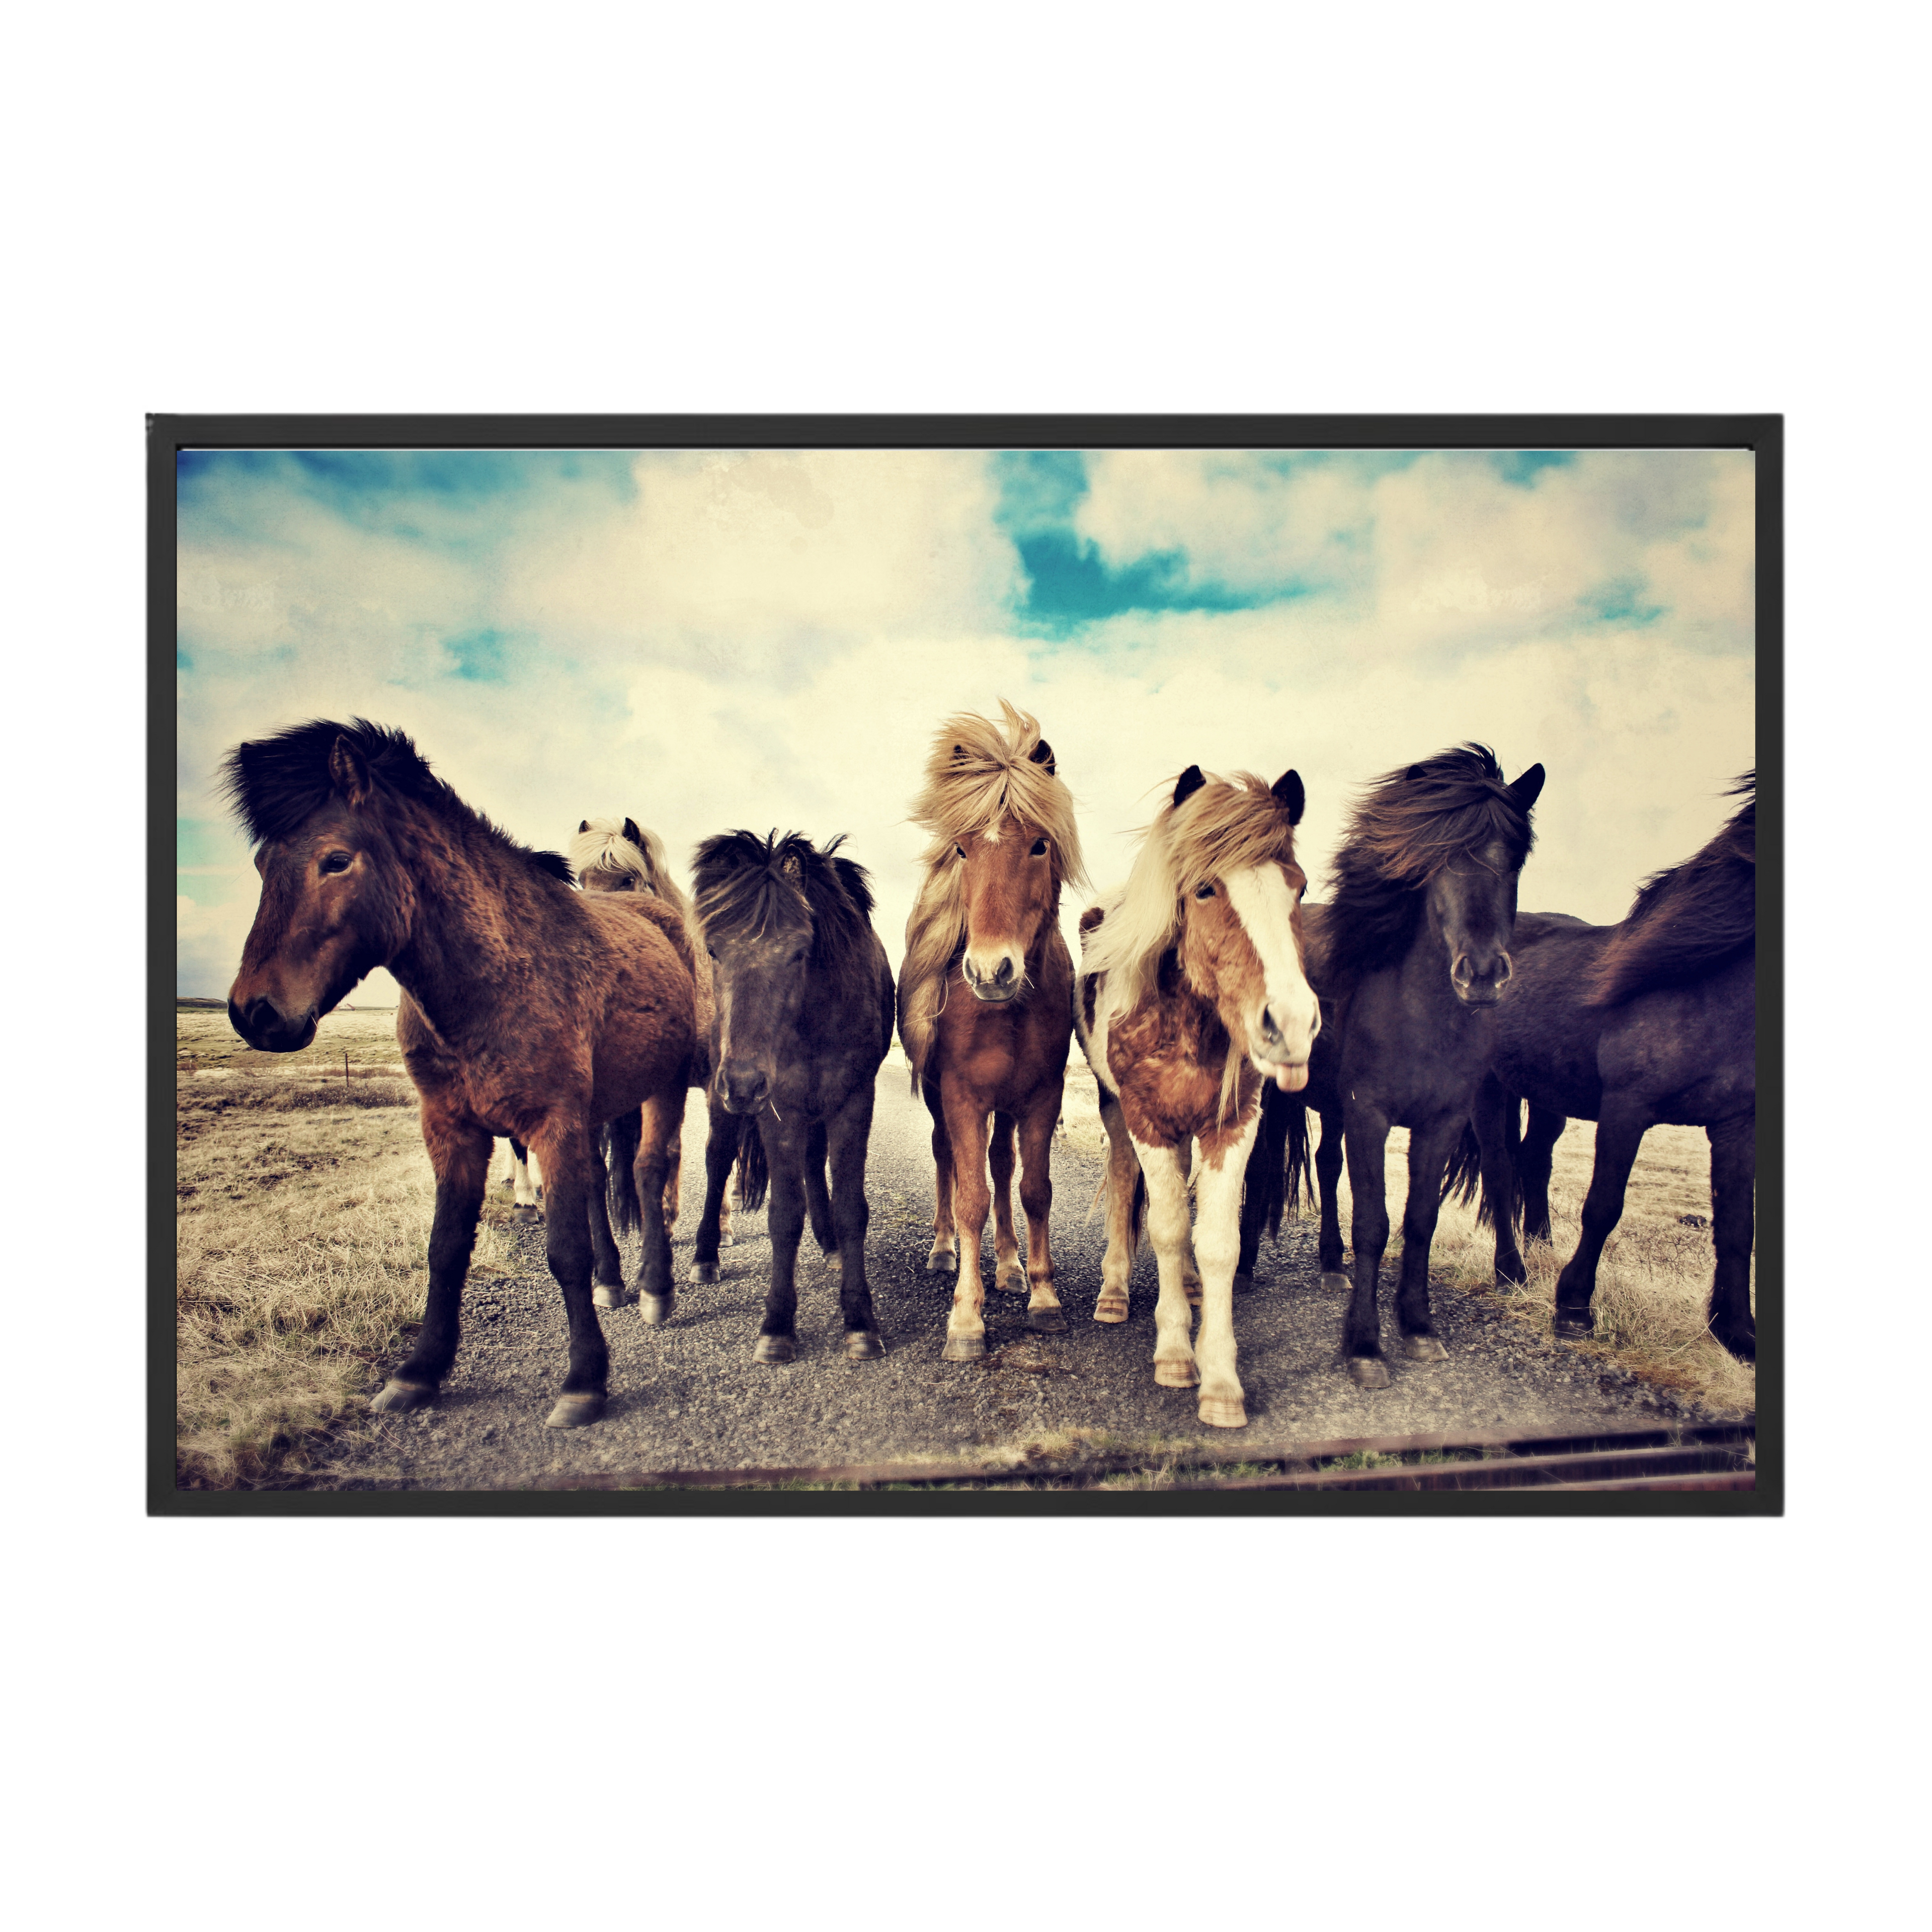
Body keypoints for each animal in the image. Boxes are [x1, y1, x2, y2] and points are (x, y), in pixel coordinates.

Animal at [223, 718, 703, 1429]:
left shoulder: (553, 1121)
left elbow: (565, 1250)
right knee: (600, 1185)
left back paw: (655, 1288)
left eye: (335, 859)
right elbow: (446, 1248)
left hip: (663, 1087)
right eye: (261, 865)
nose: (253, 1012)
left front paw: (584, 1380)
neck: (489, 980)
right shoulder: (451, 1127)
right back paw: (615, 1282)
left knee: (647, 1169)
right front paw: (420, 1371)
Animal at [688, 831, 896, 1361]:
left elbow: (850, 1207)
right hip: (725, 1103)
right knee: (718, 1161)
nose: (744, 1084)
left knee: (813, 1164)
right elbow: (783, 1215)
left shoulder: (853, 1102)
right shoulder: (779, 1108)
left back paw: (830, 1245)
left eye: (801, 951)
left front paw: (860, 1321)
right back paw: (704, 1256)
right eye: (714, 950)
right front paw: (777, 1326)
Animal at [898, 701, 1089, 1361]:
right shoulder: (960, 1096)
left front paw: (1044, 1296)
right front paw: (965, 1318)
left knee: (1002, 1165)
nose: (990, 971)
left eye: (1039, 845)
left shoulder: (1041, 1097)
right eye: (961, 849)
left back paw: (1008, 1266)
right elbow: (970, 1198)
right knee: (947, 1161)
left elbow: (1032, 1189)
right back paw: (942, 1250)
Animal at [1075, 765, 1319, 1429]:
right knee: (1125, 1185)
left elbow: (1215, 1244)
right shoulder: (1147, 1120)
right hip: (1116, 1114)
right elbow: (1164, 1228)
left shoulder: (1232, 1124)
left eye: (1299, 887)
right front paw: (1176, 1354)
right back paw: (1114, 1294)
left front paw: (1221, 1379)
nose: (1291, 1023)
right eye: (1207, 889)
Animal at [1456, 774, 1756, 1359]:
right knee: (1501, 1169)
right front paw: (1574, 1307)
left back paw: (1540, 1247)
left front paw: (1737, 1332)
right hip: (1489, 1087)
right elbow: (1604, 1205)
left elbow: (1736, 1226)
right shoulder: (1627, 1108)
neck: (1703, 986)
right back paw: (1511, 1271)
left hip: (1545, 1095)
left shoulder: (1736, 1124)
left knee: (1534, 1160)